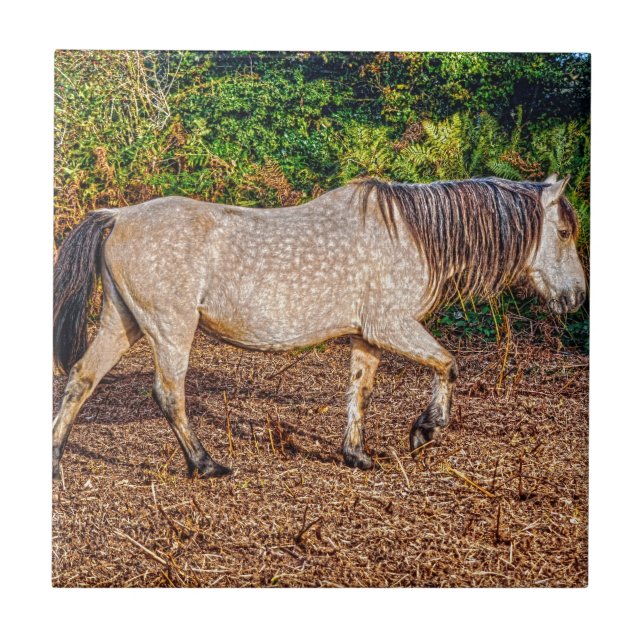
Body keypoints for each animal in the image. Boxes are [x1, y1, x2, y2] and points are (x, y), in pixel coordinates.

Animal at [53, 174, 586, 479]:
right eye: (563, 232)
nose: (576, 298)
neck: (411, 235)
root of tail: (119, 216)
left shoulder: (367, 336)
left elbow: (360, 391)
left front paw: (357, 455)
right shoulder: (392, 326)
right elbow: (447, 365)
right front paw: (424, 430)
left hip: (123, 323)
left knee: (81, 378)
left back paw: (56, 465)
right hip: (170, 328)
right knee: (168, 394)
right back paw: (205, 465)